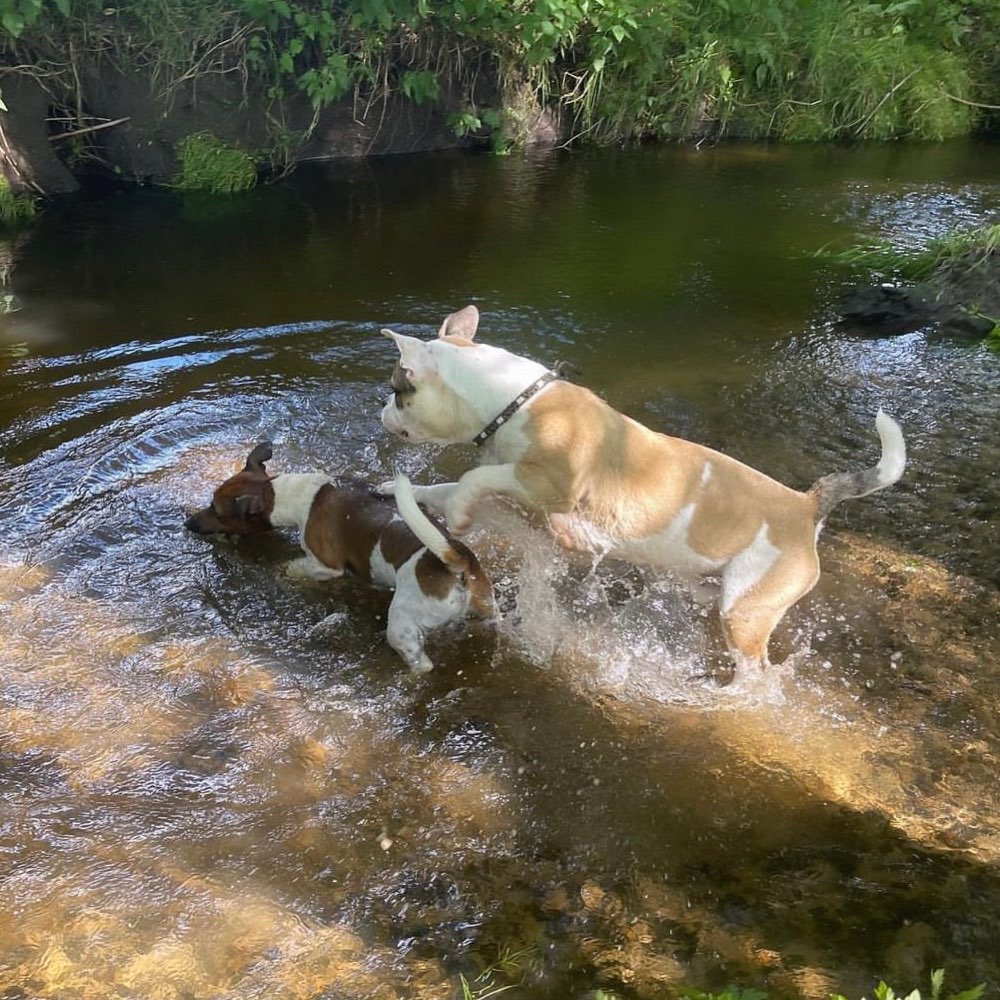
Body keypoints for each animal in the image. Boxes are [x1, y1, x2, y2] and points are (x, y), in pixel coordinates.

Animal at [185, 444, 496, 672]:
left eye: (215, 510)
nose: (188, 523)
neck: (295, 495)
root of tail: (456, 563)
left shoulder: (325, 565)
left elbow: (291, 567)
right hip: (487, 614)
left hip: (401, 625)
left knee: (422, 665)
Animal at [376, 304, 908, 672]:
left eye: (397, 392)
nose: (382, 414)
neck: (512, 400)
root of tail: (805, 506)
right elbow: (447, 485)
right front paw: (395, 490)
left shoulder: (550, 484)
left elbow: (473, 479)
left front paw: (458, 510)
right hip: (716, 587)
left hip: (747, 612)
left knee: (756, 670)